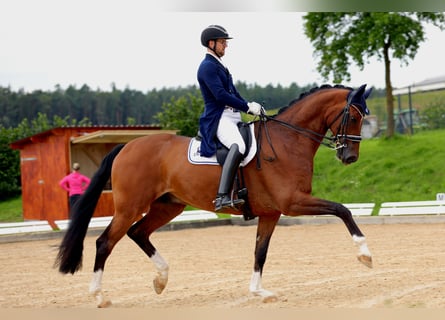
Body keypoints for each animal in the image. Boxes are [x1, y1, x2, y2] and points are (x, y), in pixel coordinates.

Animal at [57, 84, 372, 306]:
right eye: (354, 116)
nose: (350, 157)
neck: (287, 141)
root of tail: (126, 146)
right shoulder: (293, 203)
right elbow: (342, 209)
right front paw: (365, 255)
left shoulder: (272, 213)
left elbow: (260, 251)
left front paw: (259, 292)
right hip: (130, 207)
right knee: (105, 242)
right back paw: (100, 296)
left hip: (168, 206)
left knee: (138, 233)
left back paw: (161, 279)